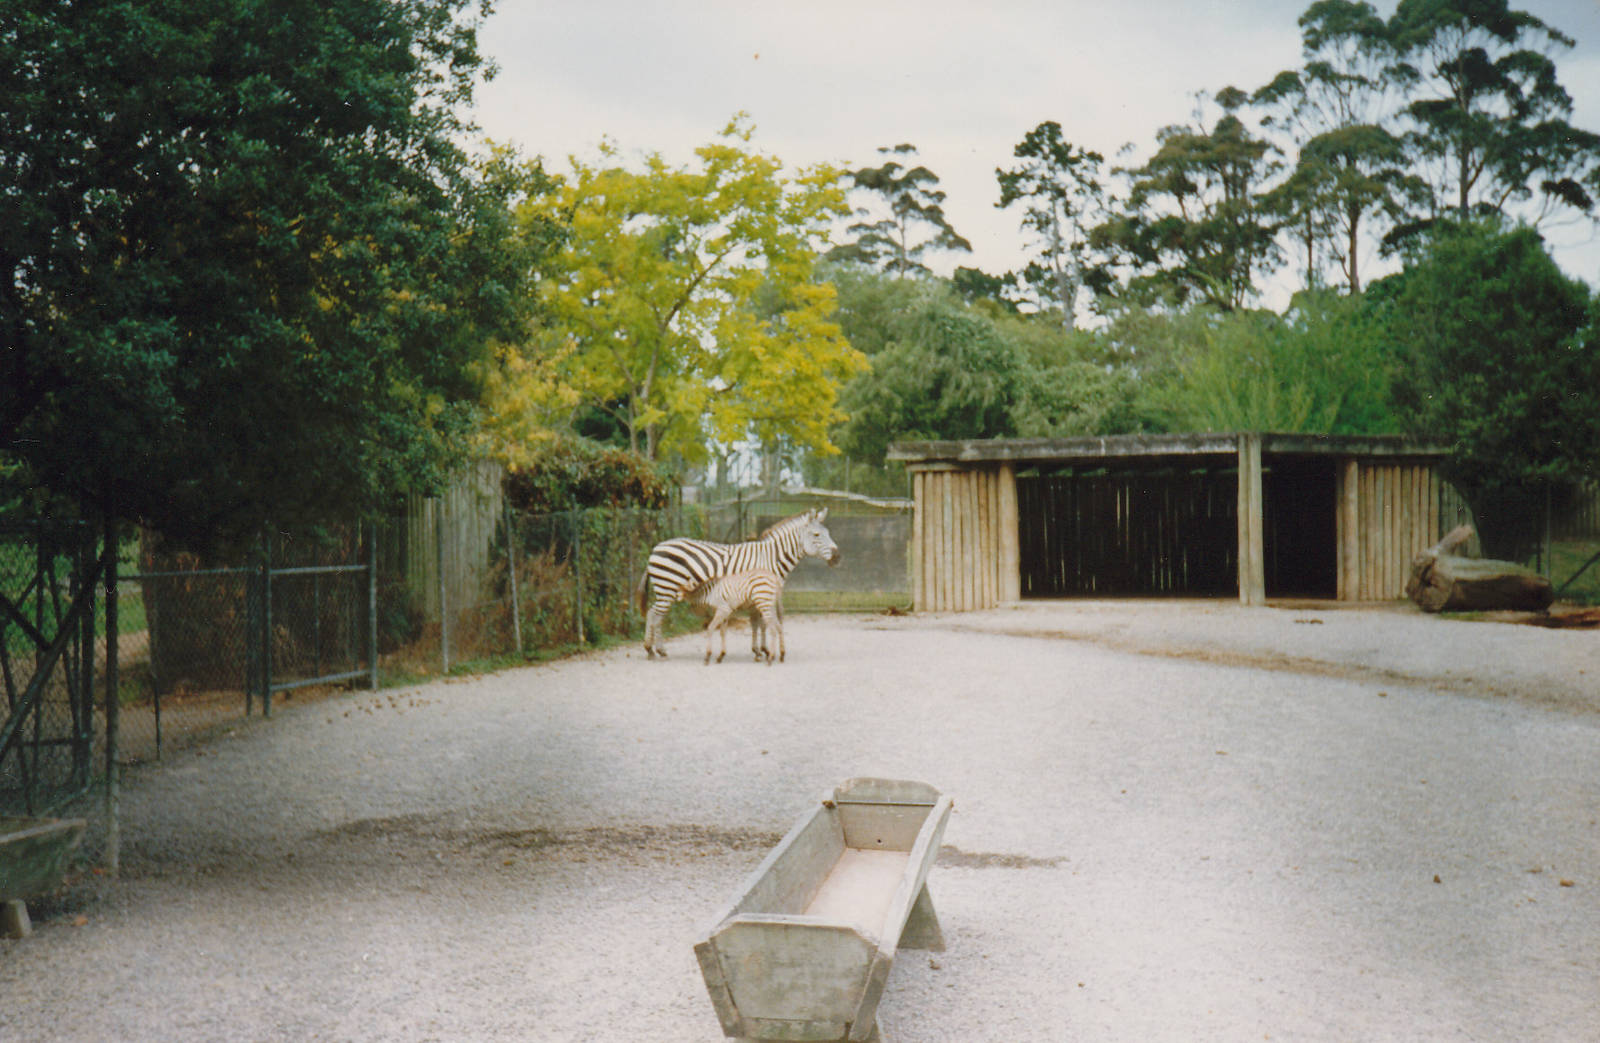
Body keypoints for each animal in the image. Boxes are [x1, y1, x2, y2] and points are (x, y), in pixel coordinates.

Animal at [634, 507, 839, 660]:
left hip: (666, 590)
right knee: (655, 616)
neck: (771, 558)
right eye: (816, 535)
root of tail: (656, 548)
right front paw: (763, 650)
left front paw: (759, 650)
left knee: (654, 614)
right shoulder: (760, 592)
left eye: (828, 533)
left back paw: (654, 649)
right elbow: (761, 622)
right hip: (666, 588)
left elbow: (757, 622)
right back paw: (654, 650)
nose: (838, 557)